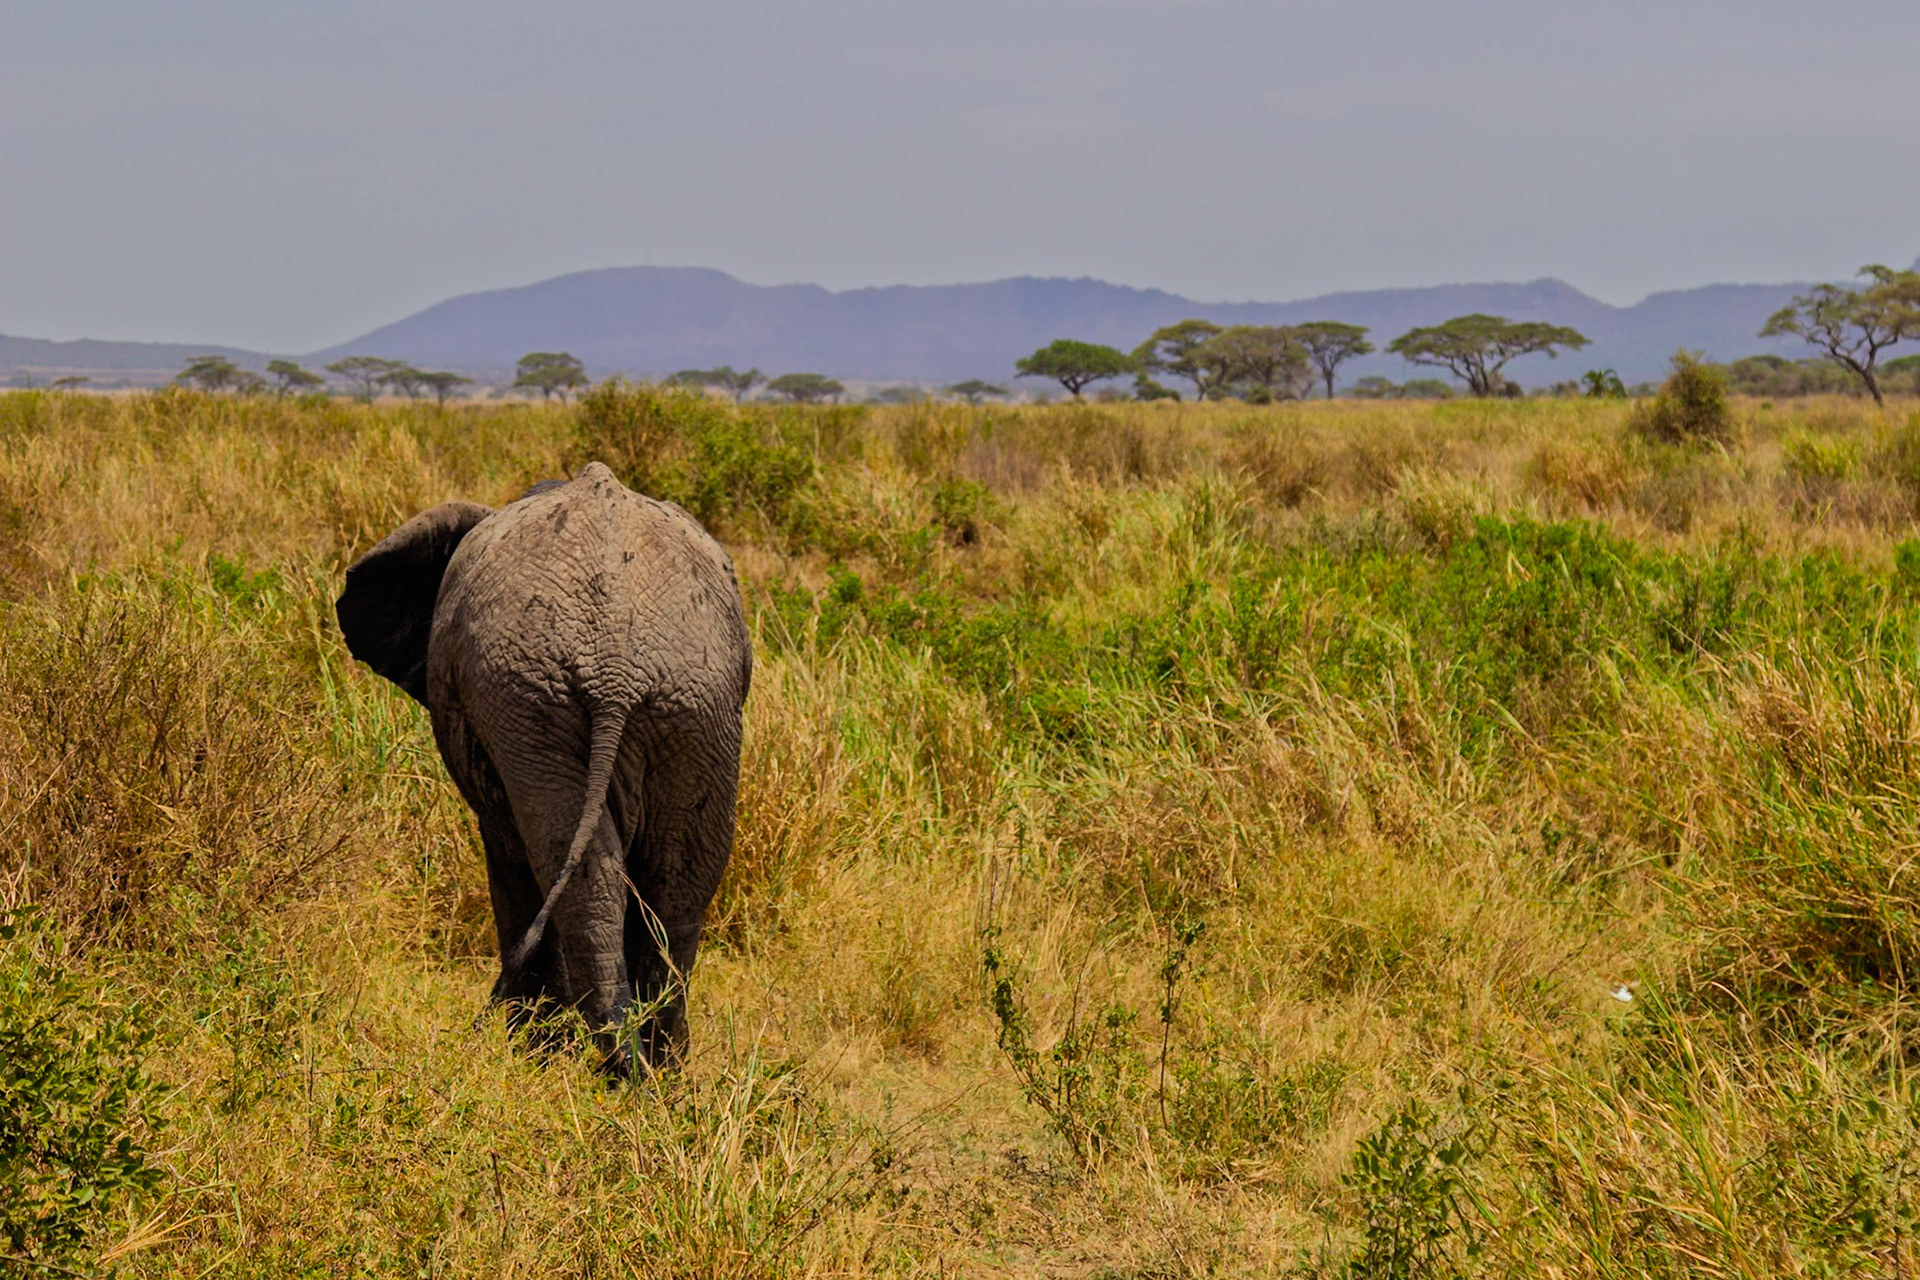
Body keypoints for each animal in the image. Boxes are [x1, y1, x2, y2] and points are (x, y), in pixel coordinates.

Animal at [335, 462, 751, 1073]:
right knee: (677, 879)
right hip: (690, 705)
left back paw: (602, 1065)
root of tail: (614, 665)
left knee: (566, 861)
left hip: (536, 699)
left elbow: (510, 855)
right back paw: (656, 1073)